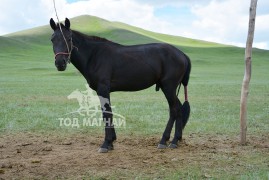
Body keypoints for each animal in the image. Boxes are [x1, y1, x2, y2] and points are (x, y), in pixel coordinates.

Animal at [48, 17, 191, 153]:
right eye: (52, 39)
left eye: (69, 38)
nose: (60, 63)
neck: (94, 55)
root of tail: (182, 54)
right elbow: (109, 112)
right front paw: (111, 142)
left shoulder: (103, 89)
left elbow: (106, 113)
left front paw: (106, 143)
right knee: (177, 109)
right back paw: (174, 140)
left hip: (168, 87)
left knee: (174, 109)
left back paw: (166, 141)